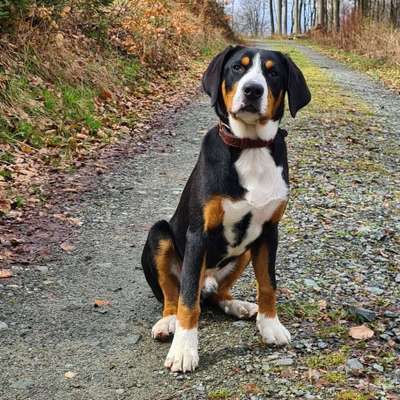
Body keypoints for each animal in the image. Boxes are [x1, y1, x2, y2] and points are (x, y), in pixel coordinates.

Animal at [141, 46, 310, 372]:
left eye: (273, 72)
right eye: (236, 68)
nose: (253, 90)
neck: (249, 147)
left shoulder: (269, 233)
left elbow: (268, 284)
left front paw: (270, 326)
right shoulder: (198, 234)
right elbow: (187, 300)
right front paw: (184, 350)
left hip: (243, 252)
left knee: (216, 294)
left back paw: (237, 305)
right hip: (159, 233)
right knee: (173, 294)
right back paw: (168, 323)